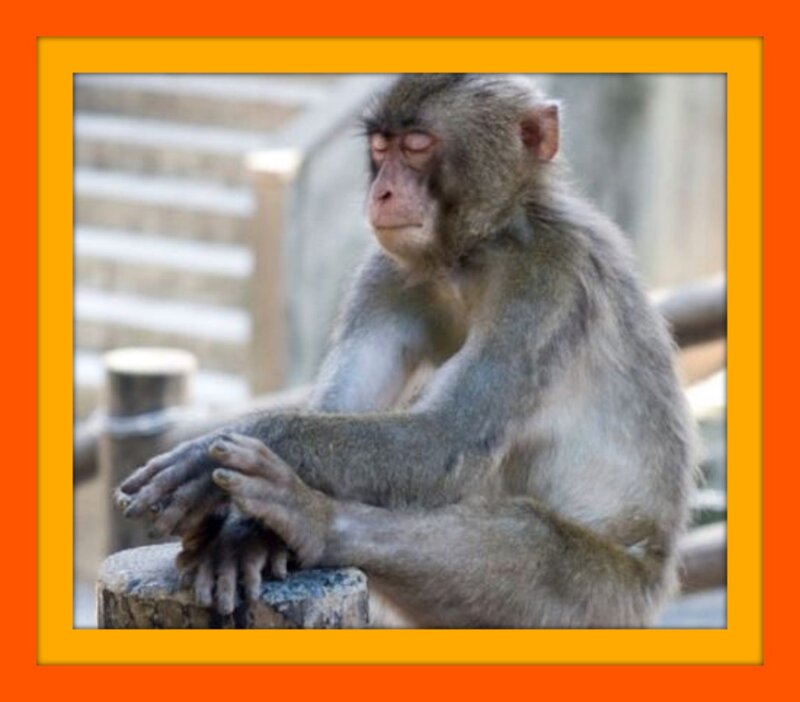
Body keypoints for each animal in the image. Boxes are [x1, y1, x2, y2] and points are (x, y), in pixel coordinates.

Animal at [116, 74, 695, 628]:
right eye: (381, 147)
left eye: (417, 145)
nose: (383, 192)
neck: (471, 252)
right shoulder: (384, 272)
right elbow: (345, 404)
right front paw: (241, 535)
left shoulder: (547, 278)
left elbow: (445, 442)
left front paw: (222, 453)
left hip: (609, 602)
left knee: (525, 537)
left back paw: (315, 522)